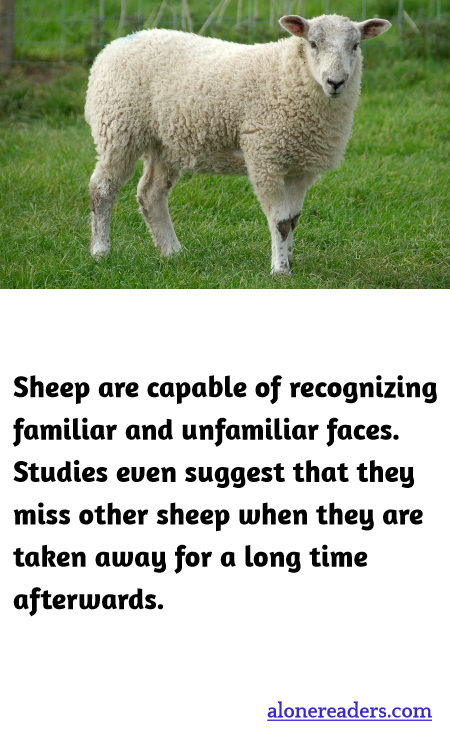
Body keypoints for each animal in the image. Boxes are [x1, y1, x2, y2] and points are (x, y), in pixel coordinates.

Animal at [85, 15, 391, 275]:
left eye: (355, 45)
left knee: (150, 194)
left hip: (165, 143)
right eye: (313, 43)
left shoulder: (301, 167)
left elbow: (293, 219)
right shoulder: (265, 157)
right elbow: (280, 222)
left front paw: (290, 262)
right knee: (102, 188)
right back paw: (100, 252)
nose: (335, 82)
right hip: (119, 127)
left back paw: (172, 252)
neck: (290, 76)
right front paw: (280, 270)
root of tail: (113, 46)